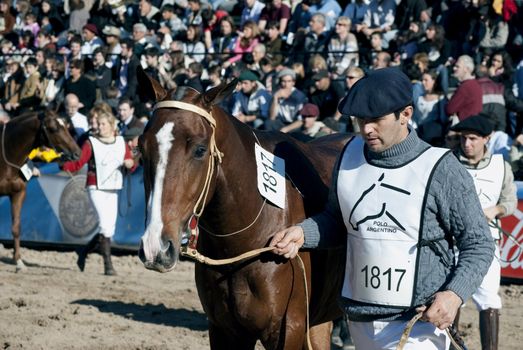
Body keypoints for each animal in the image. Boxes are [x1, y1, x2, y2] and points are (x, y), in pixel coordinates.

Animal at [0, 109, 81, 270]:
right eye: (54, 128)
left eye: (66, 125)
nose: (77, 153)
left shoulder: (18, 193)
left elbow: (16, 227)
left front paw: (18, 261)